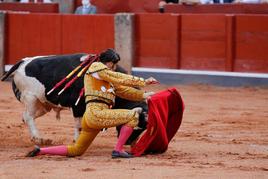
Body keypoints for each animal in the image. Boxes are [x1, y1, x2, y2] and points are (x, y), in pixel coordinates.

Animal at [1, 53, 147, 145]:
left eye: (143, 128)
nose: (128, 143)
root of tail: (23, 62)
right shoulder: (77, 106)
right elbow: (79, 124)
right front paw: (77, 140)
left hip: (43, 104)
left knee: (26, 116)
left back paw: (36, 138)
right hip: (31, 98)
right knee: (29, 117)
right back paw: (39, 138)